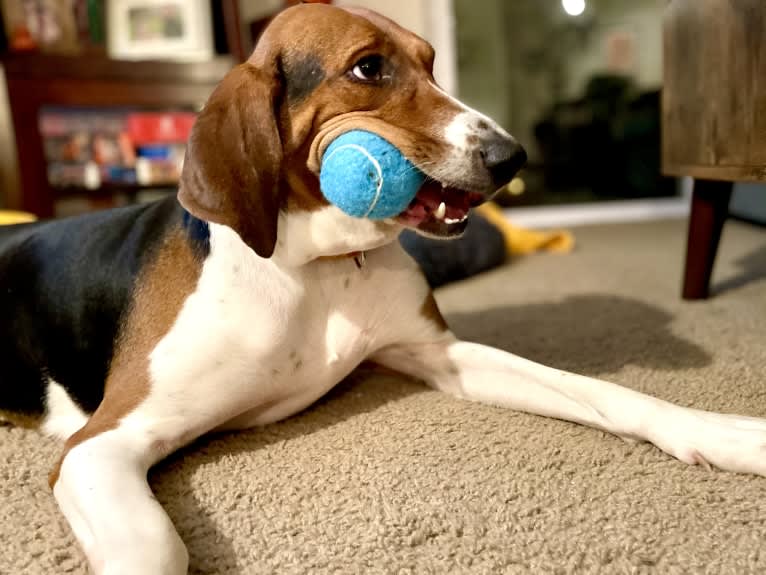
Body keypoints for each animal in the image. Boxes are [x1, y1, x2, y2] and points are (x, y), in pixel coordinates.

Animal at [1, 5, 766, 575]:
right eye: (369, 67)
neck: (320, 268)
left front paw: (720, 432)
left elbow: (606, 391)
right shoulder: (101, 444)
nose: (513, 156)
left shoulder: (441, 354)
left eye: (430, 62)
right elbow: (155, 545)